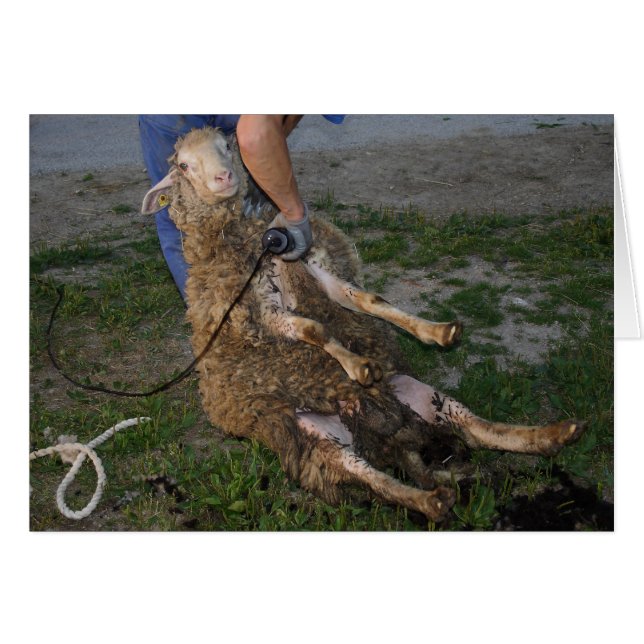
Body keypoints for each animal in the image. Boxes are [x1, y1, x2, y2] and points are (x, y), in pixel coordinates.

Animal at [141, 126, 585, 522]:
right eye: (183, 165)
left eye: (227, 146)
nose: (225, 177)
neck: (252, 243)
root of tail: (389, 437)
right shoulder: (259, 311)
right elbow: (312, 329)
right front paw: (358, 366)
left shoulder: (312, 270)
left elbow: (369, 302)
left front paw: (435, 331)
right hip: (317, 442)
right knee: (373, 479)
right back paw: (430, 500)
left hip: (419, 394)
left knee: (476, 428)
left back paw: (553, 435)